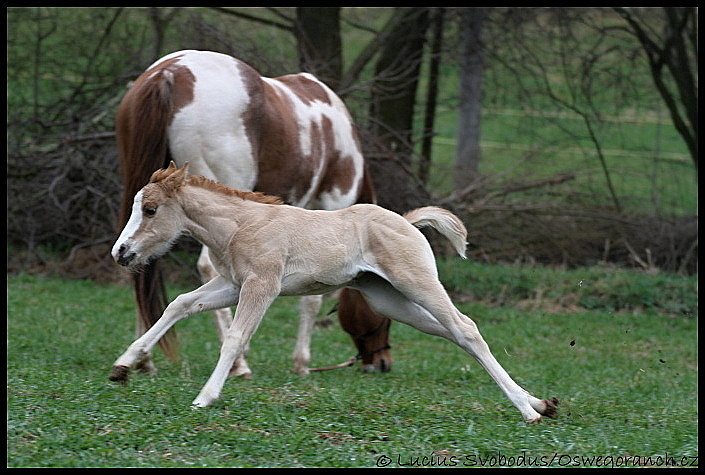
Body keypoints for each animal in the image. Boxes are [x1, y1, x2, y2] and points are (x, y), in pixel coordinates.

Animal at [110, 162, 560, 422]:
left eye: (150, 209)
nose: (121, 252)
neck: (240, 225)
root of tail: (408, 222)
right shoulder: (232, 284)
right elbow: (180, 304)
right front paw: (123, 365)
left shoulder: (262, 286)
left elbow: (236, 337)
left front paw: (205, 397)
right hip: (389, 299)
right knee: (452, 333)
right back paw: (540, 403)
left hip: (418, 284)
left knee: (465, 328)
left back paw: (528, 411)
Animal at [115, 50, 390, 378]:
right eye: (386, 316)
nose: (383, 362)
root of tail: (169, 72)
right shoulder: (330, 209)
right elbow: (312, 297)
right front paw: (301, 363)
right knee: (206, 267)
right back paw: (239, 364)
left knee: (141, 269)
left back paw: (144, 360)